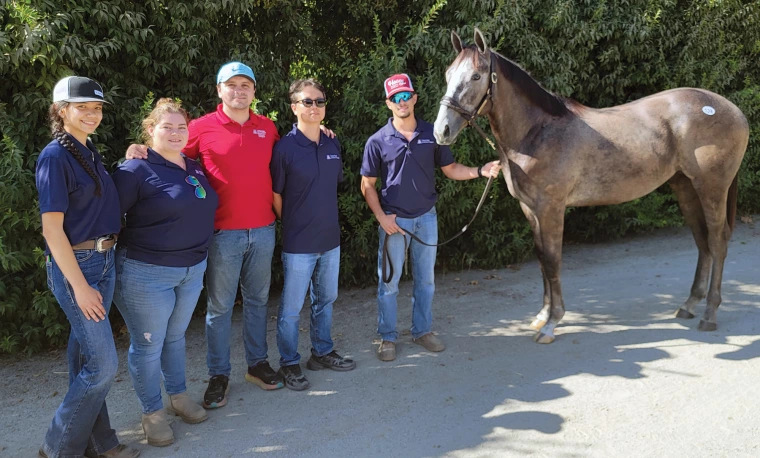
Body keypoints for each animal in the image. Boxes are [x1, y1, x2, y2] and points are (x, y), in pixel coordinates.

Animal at [434, 28, 748, 344]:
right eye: (448, 74)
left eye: (476, 75)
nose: (441, 131)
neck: (538, 132)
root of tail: (733, 110)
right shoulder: (530, 209)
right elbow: (541, 259)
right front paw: (541, 316)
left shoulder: (551, 209)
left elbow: (552, 261)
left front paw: (552, 322)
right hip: (685, 187)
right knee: (702, 242)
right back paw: (689, 305)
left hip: (712, 189)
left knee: (717, 242)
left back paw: (709, 314)